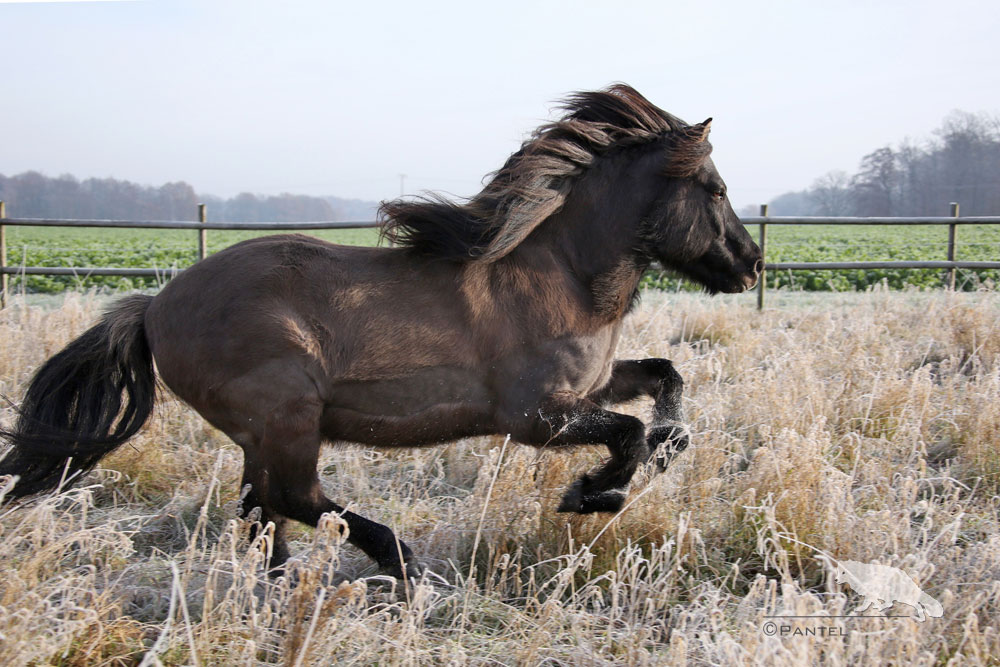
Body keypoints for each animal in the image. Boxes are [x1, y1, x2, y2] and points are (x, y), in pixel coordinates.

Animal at [1, 86, 764, 580]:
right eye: (717, 189)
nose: (751, 263)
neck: (563, 274)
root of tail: (154, 306)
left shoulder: (591, 386)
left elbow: (666, 381)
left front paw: (662, 450)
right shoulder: (536, 417)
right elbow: (628, 432)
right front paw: (591, 494)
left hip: (261, 430)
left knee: (260, 509)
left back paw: (280, 585)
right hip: (288, 412)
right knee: (293, 498)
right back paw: (398, 558)